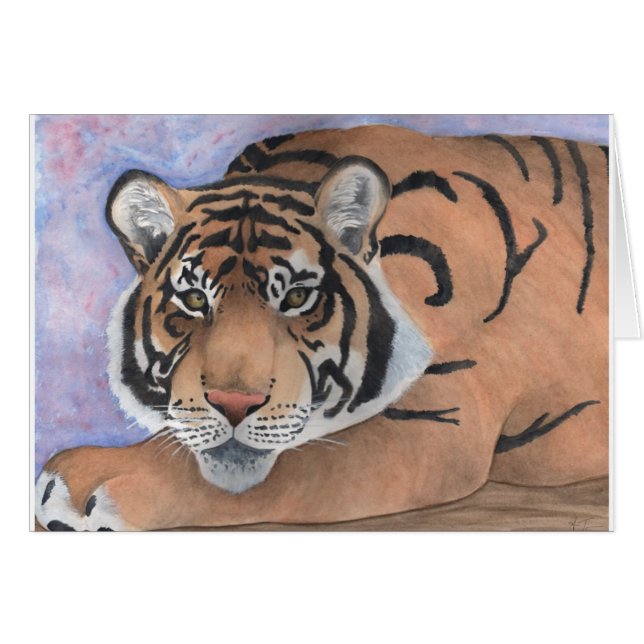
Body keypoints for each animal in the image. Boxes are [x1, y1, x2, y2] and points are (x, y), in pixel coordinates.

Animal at [35, 125, 609, 531]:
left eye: (296, 297)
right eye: (195, 299)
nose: (234, 404)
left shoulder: (436, 430)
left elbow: (293, 466)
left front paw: (79, 481)